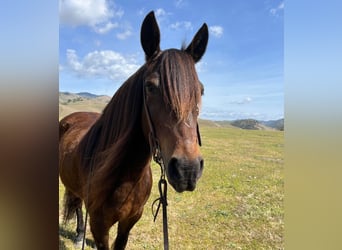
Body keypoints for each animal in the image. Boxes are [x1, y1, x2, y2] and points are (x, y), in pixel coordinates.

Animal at [59, 10, 208, 249]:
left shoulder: (129, 221)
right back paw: (80, 233)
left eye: (200, 90)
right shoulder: (99, 225)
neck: (124, 174)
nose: (188, 170)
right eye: (150, 87)